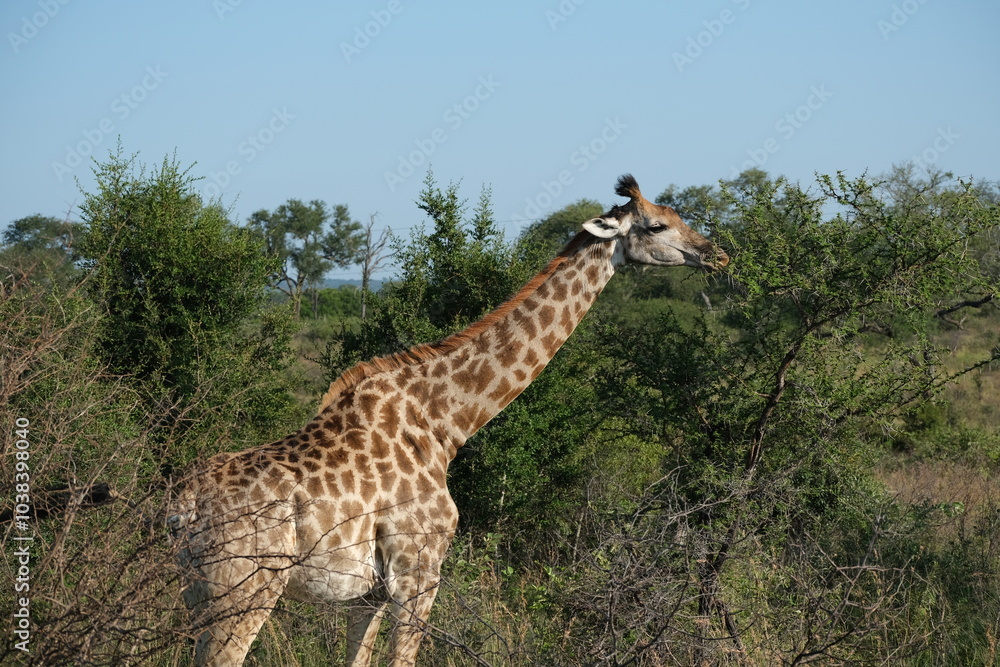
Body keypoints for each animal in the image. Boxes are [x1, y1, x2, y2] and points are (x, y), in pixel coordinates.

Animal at [170, 174, 729, 666]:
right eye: (656, 225)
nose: (718, 254)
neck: (446, 422)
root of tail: (182, 505)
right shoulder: (418, 570)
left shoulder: (368, 591)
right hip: (244, 588)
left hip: (197, 593)